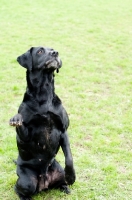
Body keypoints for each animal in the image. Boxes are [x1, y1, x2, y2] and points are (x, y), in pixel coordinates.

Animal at [9, 46, 75, 199]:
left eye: (53, 49)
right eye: (40, 51)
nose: (55, 53)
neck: (44, 94)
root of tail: (44, 183)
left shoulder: (63, 130)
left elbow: (69, 157)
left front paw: (71, 177)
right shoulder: (26, 135)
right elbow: (21, 125)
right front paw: (16, 118)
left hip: (58, 171)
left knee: (59, 183)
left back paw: (65, 187)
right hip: (27, 181)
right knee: (18, 189)